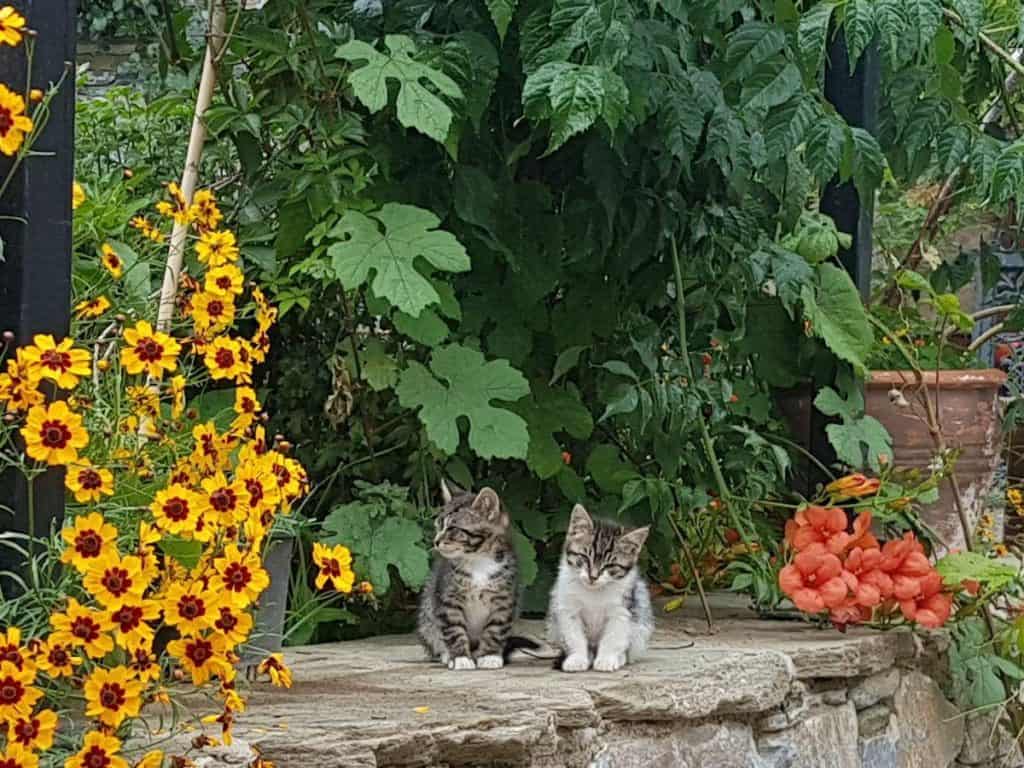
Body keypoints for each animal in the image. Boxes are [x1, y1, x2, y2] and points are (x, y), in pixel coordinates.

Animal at [413, 483, 536, 671]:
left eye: (453, 529)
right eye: (438, 526)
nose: (436, 541)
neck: (478, 561)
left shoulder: (504, 600)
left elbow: (495, 629)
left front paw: (489, 655)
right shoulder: (447, 598)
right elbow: (454, 629)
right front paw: (460, 658)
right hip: (427, 617)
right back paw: (446, 654)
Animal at [548, 505, 651, 671]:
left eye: (609, 565)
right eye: (584, 557)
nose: (593, 576)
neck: (593, 592)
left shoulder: (622, 610)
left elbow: (613, 637)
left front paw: (606, 659)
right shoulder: (567, 608)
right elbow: (574, 636)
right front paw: (577, 658)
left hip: (641, 615)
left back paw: (620, 657)